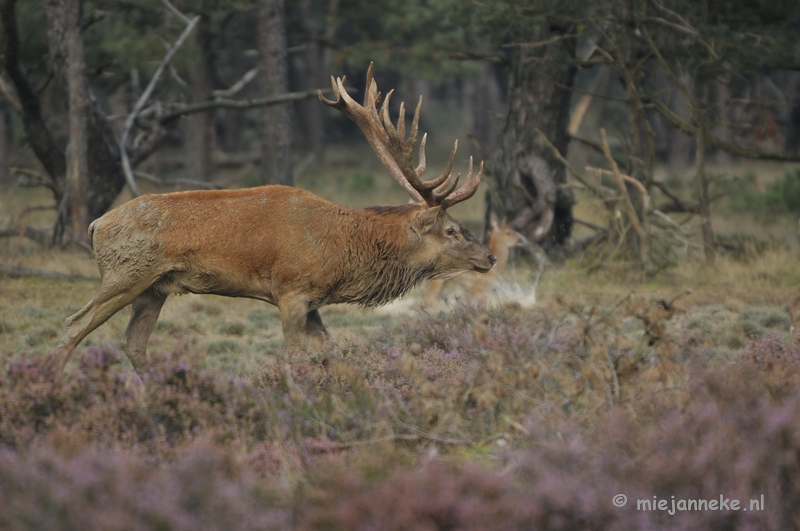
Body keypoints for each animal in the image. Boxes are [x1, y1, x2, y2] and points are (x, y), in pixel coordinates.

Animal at [51, 63, 494, 378]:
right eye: (452, 230)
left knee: (134, 344)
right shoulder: (292, 290)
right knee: (73, 325)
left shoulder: (314, 302)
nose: (488, 257)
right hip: (125, 274)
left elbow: (334, 358)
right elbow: (296, 359)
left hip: (155, 287)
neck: (343, 255)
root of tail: (96, 224)